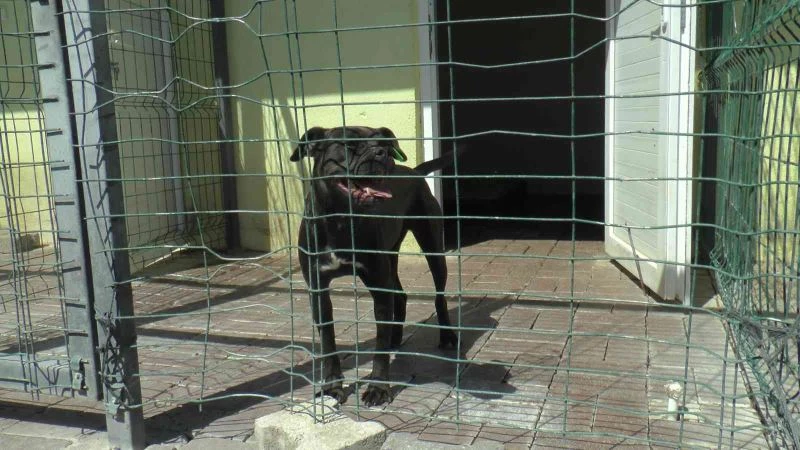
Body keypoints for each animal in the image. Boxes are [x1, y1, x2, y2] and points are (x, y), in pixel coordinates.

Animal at [291, 125, 458, 406]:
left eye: (384, 142)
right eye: (349, 144)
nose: (382, 153)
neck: (340, 221)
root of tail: (414, 172)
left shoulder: (378, 285)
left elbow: (378, 347)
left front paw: (378, 388)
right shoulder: (318, 289)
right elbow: (328, 344)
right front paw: (332, 387)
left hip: (432, 246)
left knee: (439, 296)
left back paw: (446, 337)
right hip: (390, 256)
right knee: (400, 295)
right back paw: (395, 338)